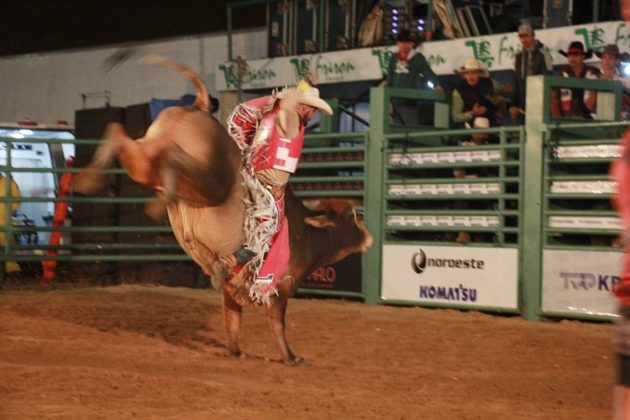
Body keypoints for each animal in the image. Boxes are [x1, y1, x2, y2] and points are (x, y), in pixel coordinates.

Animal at [73, 53, 373, 365]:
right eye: (352, 217)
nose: (369, 237)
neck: (304, 231)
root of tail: (198, 106)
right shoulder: (279, 288)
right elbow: (277, 323)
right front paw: (291, 357)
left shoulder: (231, 294)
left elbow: (233, 322)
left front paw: (235, 352)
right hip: (210, 182)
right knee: (172, 157)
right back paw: (156, 201)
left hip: (148, 162)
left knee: (121, 134)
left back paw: (91, 179)